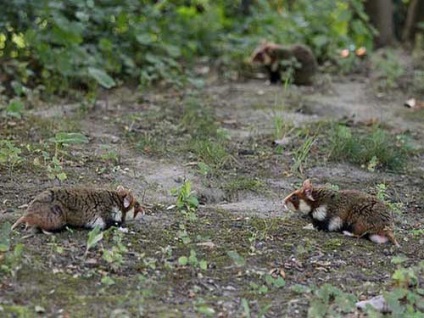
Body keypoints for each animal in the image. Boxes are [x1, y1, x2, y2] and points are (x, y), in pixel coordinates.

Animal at [11, 185, 144, 232]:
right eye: (137, 205)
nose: (144, 212)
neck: (117, 201)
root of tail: (26, 214)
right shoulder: (106, 218)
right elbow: (115, 225)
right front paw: (125, 229)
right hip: (56, 218)